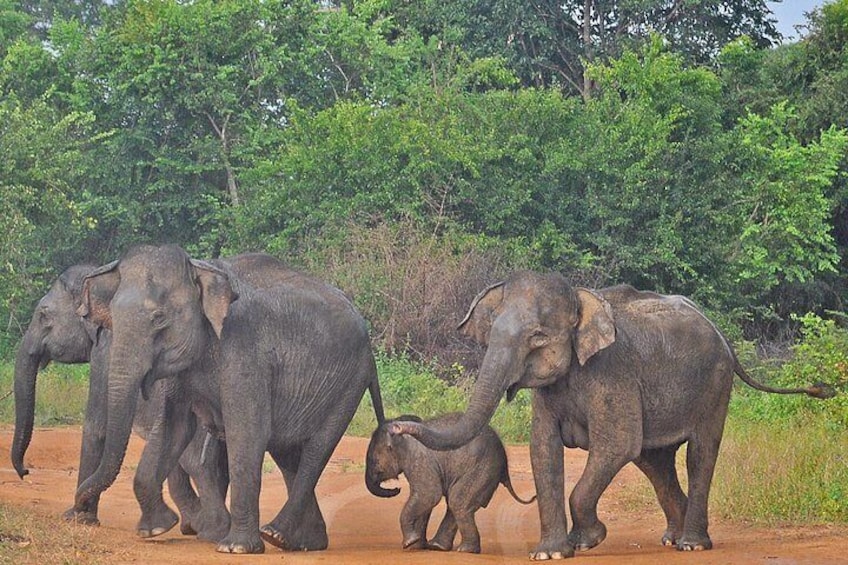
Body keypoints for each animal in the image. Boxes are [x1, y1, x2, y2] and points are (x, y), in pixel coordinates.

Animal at [10, 264, 229, 536]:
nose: (25, 472)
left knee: (196, 461)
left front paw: (77, 518)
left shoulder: (105, 351)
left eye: (43, 315)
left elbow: (96, 428)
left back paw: (207, 528)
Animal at [73, 245, 384, 552]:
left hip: (348, 382)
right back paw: (301, 543)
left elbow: (246, 433)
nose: (78, 511)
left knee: (315, 450)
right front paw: (155, 529)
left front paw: (235, 548)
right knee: (287, 453)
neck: (200, 268)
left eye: (159, 318)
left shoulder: (244, 349)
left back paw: (275, 534)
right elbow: (174, 430)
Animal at [366, 410, 536, 552]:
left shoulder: (418, 459)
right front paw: (416, 545)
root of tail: (505, 461)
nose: (396, 489)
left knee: (458, 501)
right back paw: (438, 546)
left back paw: (464, 550)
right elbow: (425, 499)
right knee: (457, 503)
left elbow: (429, 494)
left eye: (374, 462)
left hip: (482, 469)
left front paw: (409, 543)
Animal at [392, 270, 836, 556]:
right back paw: (671, 539)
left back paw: (692, 544)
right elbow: (543, 450)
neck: (581, 298)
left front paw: (588, 540)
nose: (398, 427)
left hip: (714, 384)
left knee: (698, 454)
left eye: (538, 338)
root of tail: (721, 333)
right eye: (490, 334)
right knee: (654, 462)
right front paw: (550, 553)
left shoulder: (612, 372)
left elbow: (616, 444)